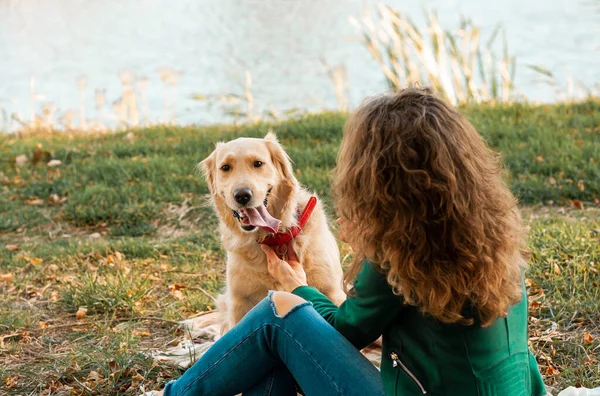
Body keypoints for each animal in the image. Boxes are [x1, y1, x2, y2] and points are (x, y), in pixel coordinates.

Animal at [202, 131, 344, 330]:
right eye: (225, 167)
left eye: (258, 163)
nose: (242, 196)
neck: (274, 237)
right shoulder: (239, 302)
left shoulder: (332, 292)